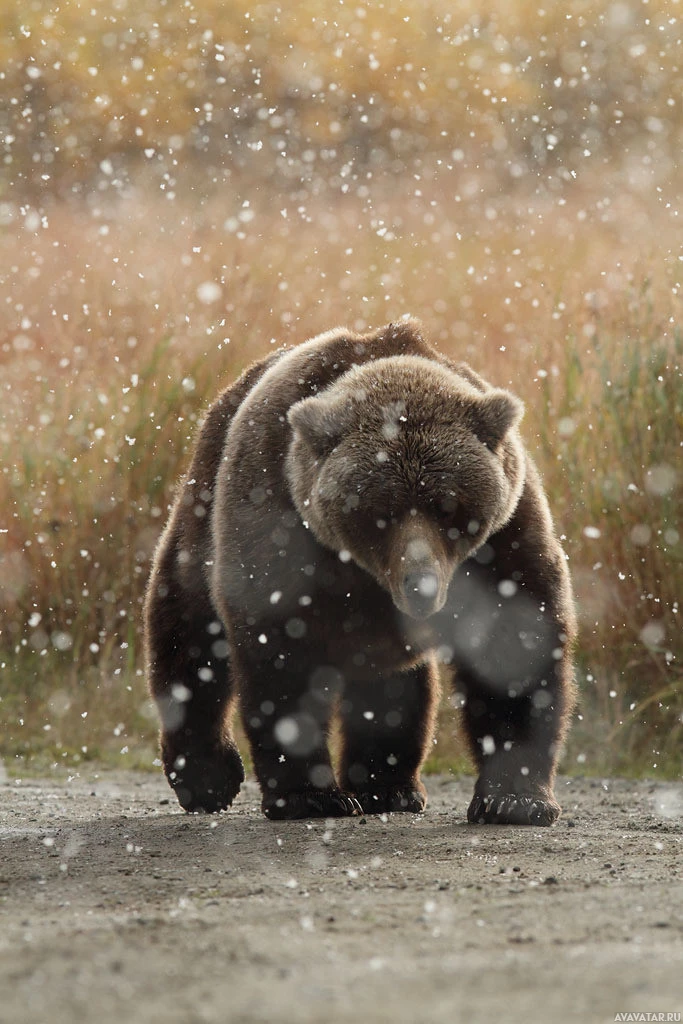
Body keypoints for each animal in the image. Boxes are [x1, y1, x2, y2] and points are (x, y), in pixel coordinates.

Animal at [145, 317, 577, 823]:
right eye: (380, 512)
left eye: (447, 505)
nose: (421, 585)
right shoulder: (276, 521)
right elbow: (280, 657)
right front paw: (309, 796)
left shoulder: (504, 538)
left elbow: (515, 646)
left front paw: (513, 799)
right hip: (205, 500)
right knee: (187, 627)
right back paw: (207, 777)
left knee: (393, 687)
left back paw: (389, 787)